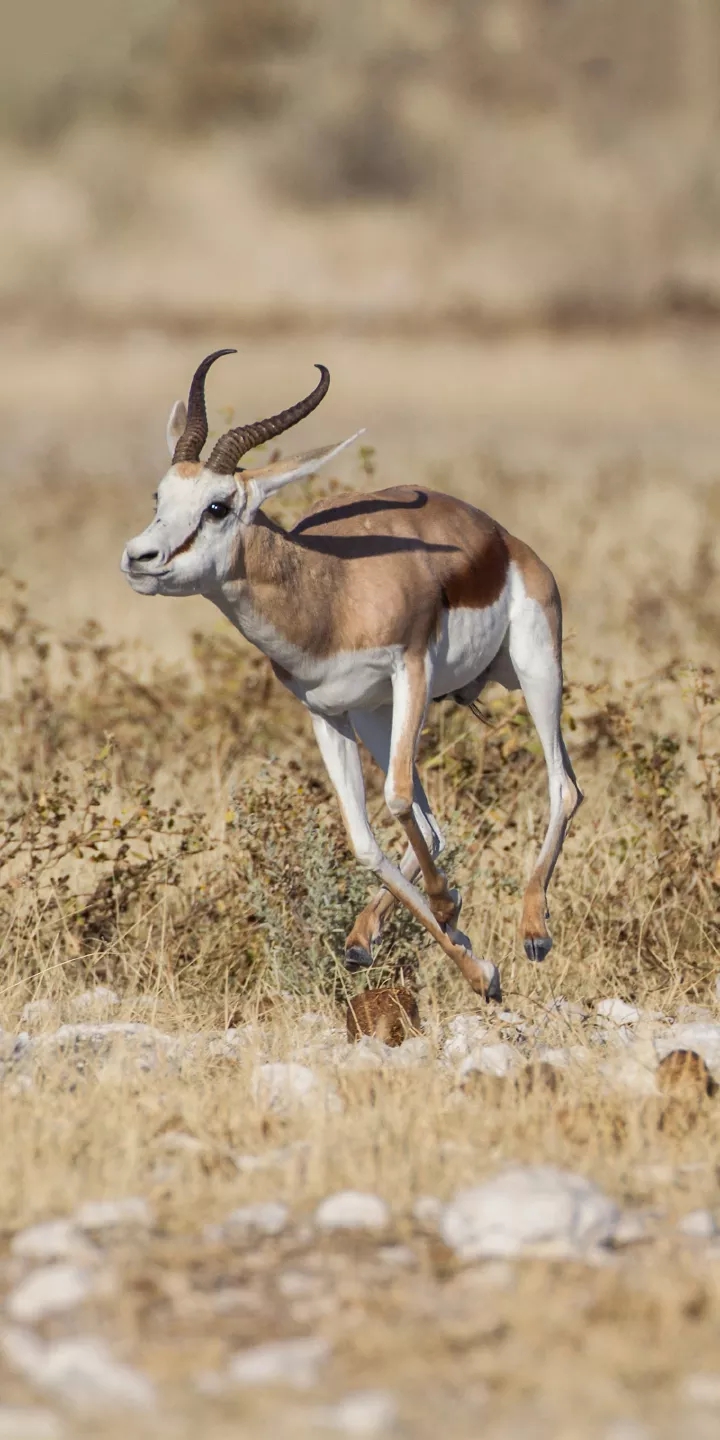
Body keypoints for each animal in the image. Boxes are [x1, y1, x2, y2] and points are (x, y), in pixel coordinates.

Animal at [121, 351, 582, 1002]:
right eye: (158, 495)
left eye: (217, 506)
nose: (139, 558)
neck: (331, 592)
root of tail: (504, 538)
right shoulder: (328, 712)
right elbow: (365, 840)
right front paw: (475, 964)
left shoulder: (410, 670)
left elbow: (394, 799)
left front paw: (449, 908)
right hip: (376, 716)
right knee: (433, 829)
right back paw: (369, 939)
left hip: (534, 668)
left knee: (562, 786)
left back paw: (532, 930)